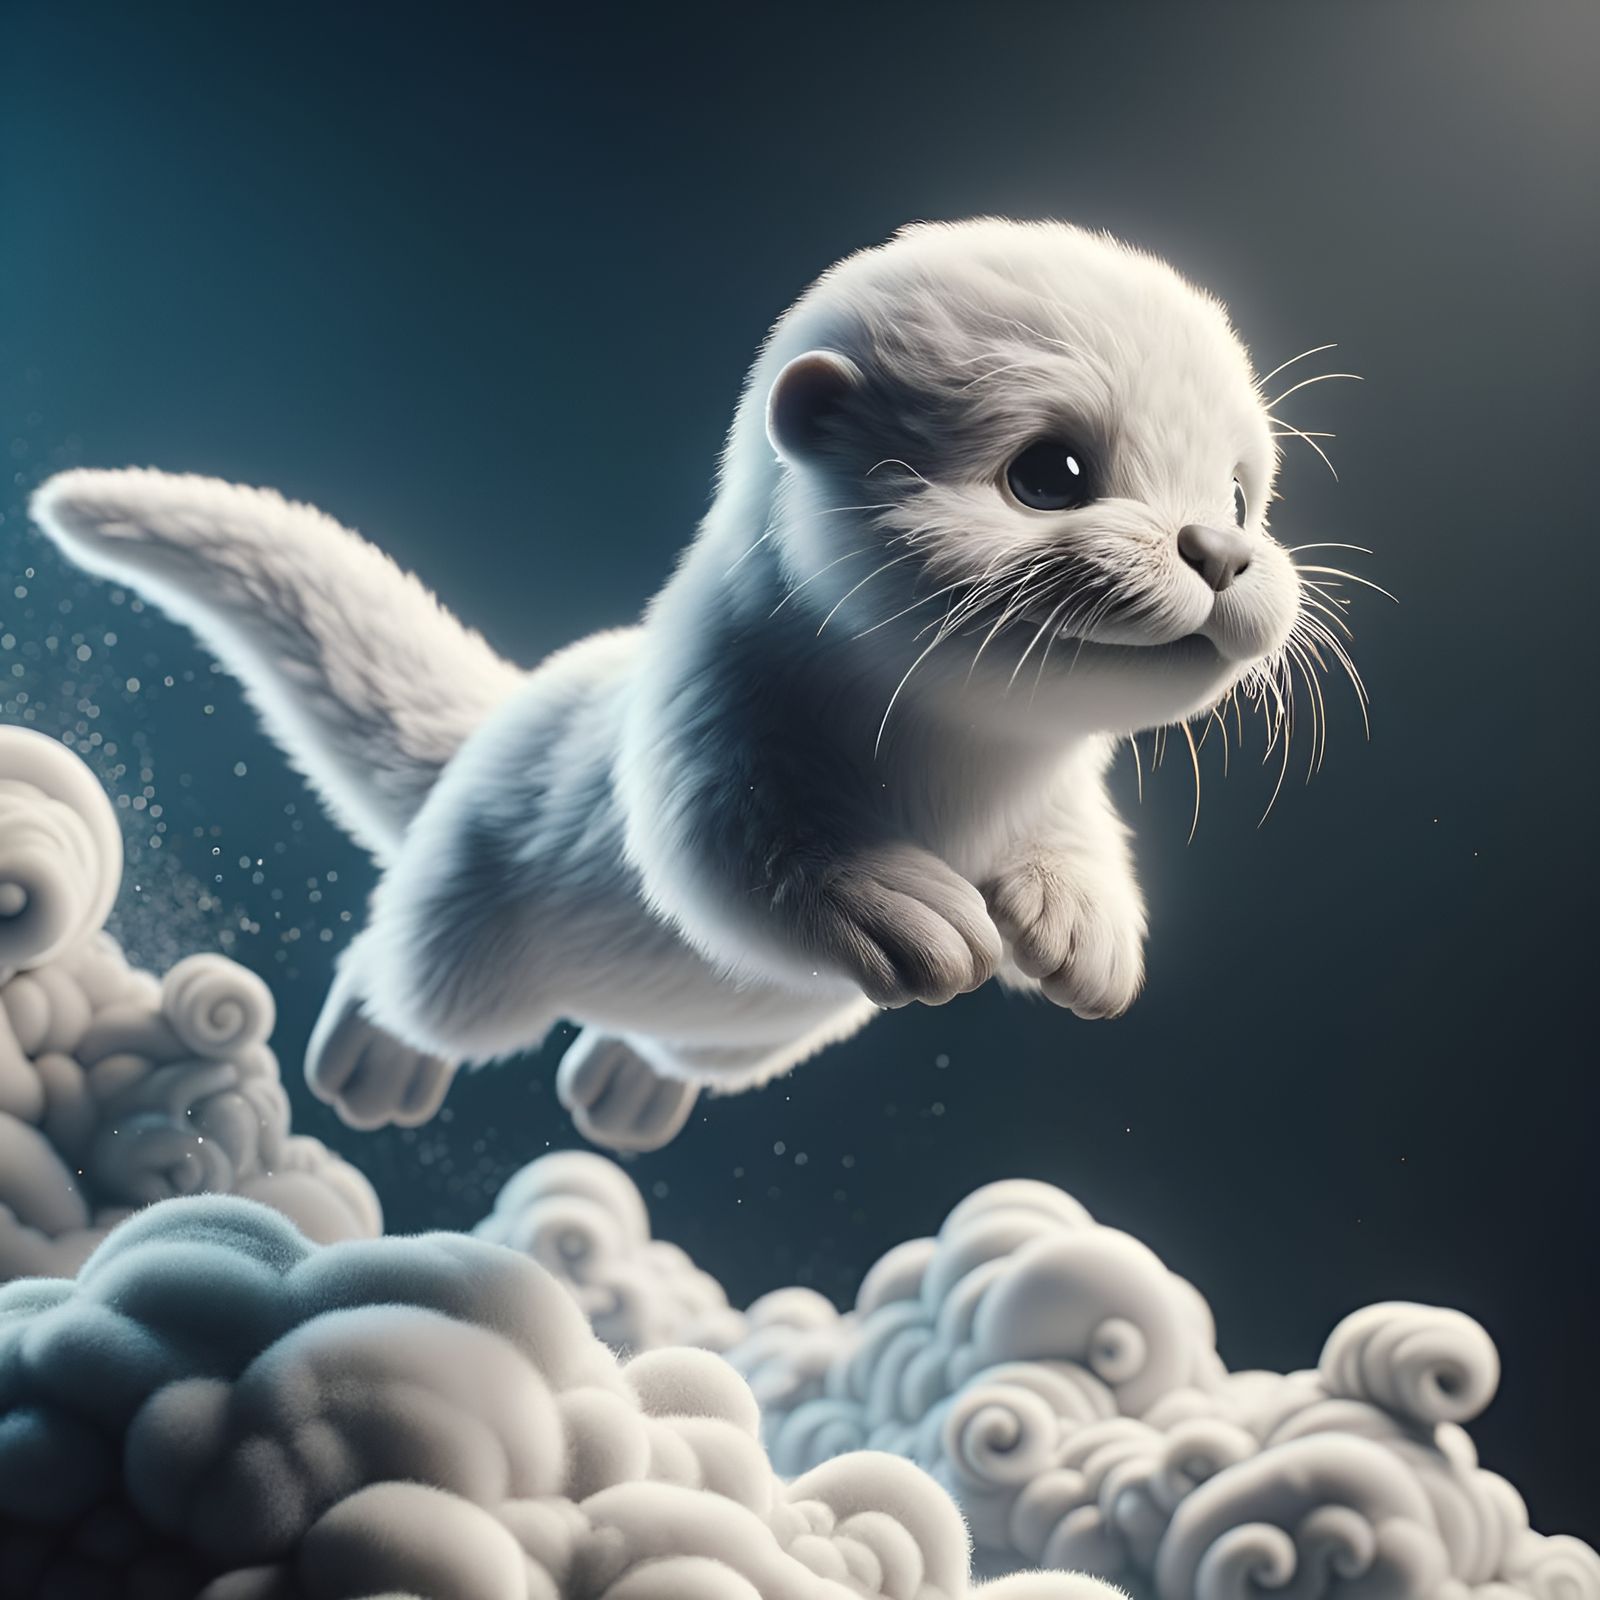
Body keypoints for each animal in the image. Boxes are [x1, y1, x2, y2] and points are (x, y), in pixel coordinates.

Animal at [32, 219, 1327, 1152]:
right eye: (1051, 470)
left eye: (1239, 493)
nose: (1221, 552)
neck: (953, 785)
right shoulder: (700, 740)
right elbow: (730, 863)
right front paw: (900, 902)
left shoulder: (1059, 793)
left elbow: (1084, 843)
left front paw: (1078, 928)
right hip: (467, 930)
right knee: (392, 969)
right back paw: (373, 1065)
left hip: (751, 1040)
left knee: (661, 1047)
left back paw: (623, 1090)